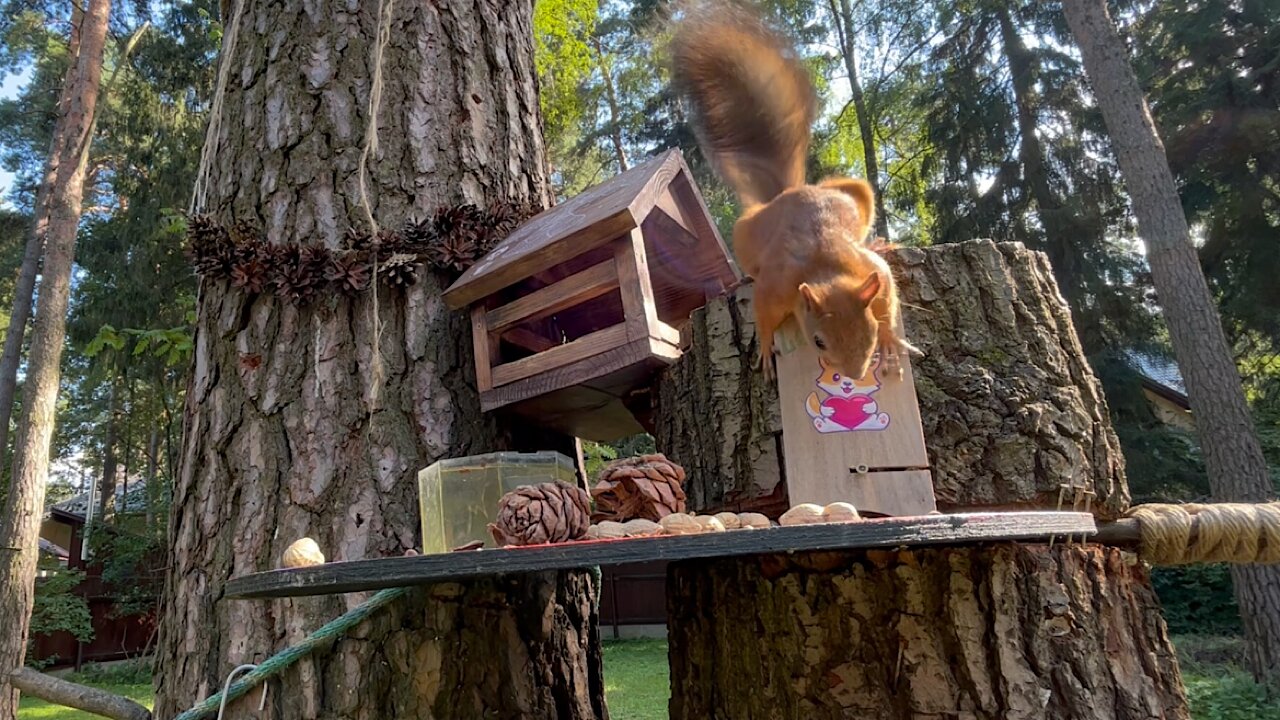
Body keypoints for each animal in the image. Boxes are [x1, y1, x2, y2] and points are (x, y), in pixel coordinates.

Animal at [670, 2, 921, 379]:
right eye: (818, 342)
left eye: (871, 333)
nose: (855, 376)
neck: (825, 267)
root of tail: (790, 193)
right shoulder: (776, 287)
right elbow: (763, 315)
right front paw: (765, 350)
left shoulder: (871, 270)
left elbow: (888, 294)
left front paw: (892, 341)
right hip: (745, 234)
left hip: (855, 191)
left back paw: (878, 240)